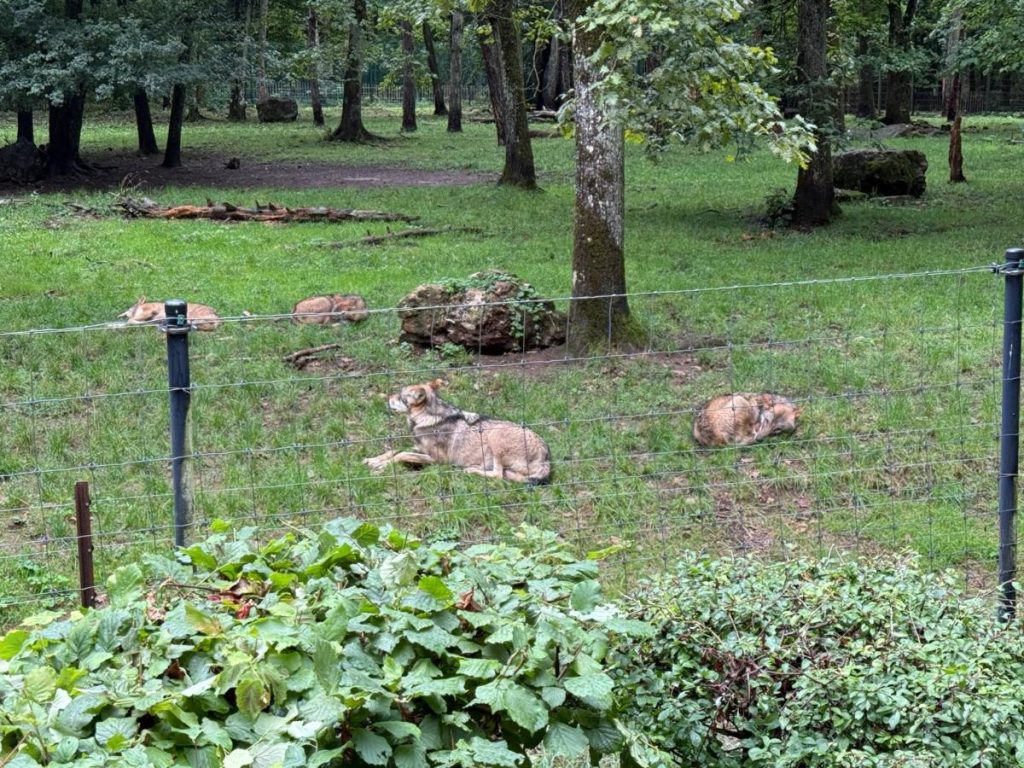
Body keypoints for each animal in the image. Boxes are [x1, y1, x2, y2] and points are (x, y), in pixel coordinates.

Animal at [363, 379, 551, 484]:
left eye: (399, 396)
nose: (386, 398)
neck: (427, 418)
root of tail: (546, 456)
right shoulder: (418, 449)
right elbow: (394, 450)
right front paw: (373, 460)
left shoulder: (437, 460)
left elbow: (400, 455)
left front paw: (379, 467)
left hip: (494, 436)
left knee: (498, 475)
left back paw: (469, 470)